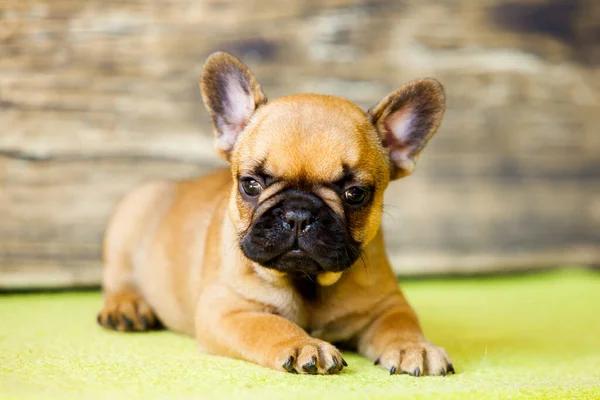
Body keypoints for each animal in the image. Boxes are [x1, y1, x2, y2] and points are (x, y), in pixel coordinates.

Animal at [99, 51, 454, 376]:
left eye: (355, 194)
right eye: (250, 184)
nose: (298, 214)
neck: (306, 283)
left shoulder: (387, 304)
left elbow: (401, 322)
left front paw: (415, 347)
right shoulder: (228, 311)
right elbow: (269, 326)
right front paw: (303, 344)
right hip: (131, 217)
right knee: (118, 280)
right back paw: (126, 306)